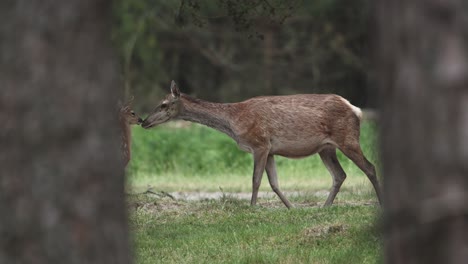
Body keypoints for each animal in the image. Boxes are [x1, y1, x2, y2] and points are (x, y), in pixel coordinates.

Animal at [141, 80, 382, 208]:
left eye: (164, 104)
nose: (144, 121)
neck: (234, 122)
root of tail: (356, 110)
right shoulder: (271, 150)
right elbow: (274, 183)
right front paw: (292, 208)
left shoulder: (259, 144)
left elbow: (256, 180)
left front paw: (252, 207)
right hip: (326, 148)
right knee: (340, 175)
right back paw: (324, 207)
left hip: (347, 138)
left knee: (370, 167)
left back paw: (379, 202)